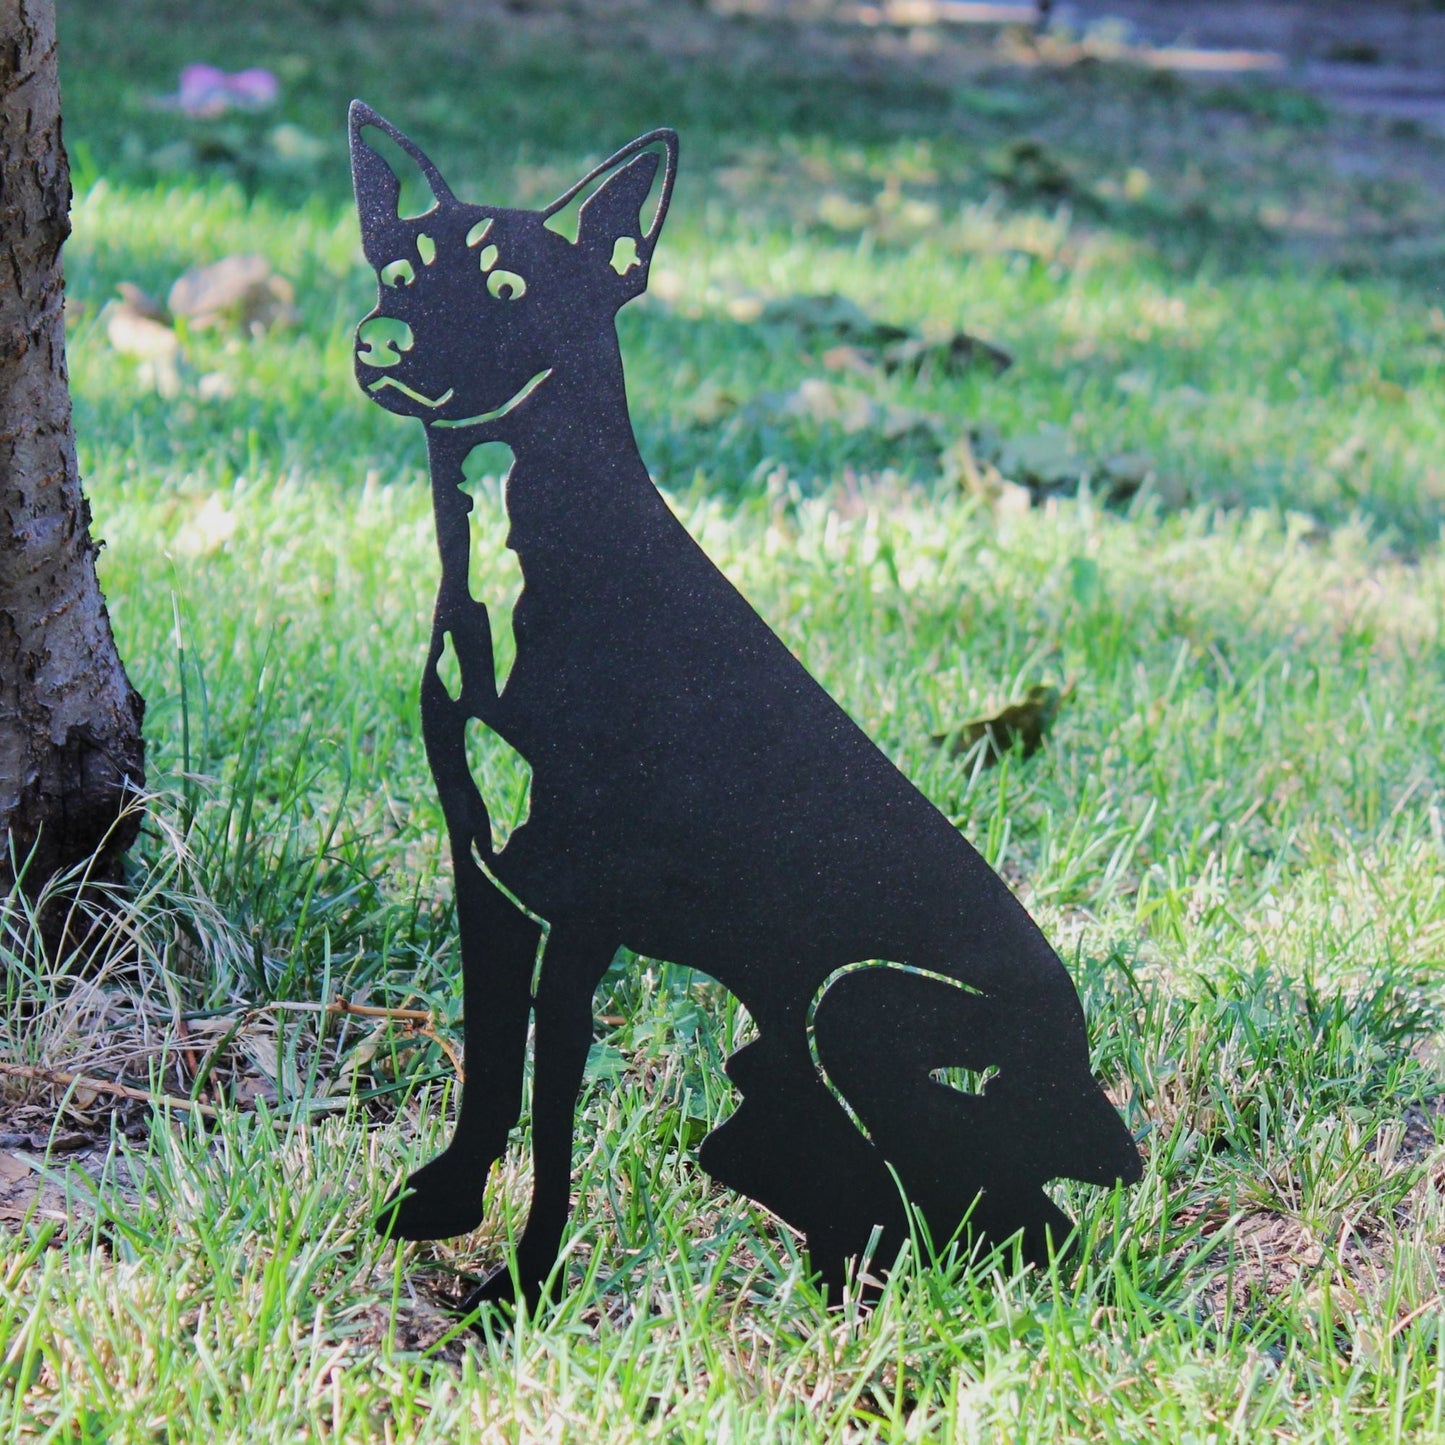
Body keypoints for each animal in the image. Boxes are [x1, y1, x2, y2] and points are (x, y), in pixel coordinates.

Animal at [349, 102, 1140, 1310]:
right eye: (397, 272)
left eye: (510, 290)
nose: (379, 343)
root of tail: (1092, 1083)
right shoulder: (487, 874)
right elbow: (487, 1071)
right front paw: (445, 1203)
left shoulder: (578, 910)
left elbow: (552, 1109)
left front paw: (522, 1285)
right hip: (786, 1042)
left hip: (854, 1003)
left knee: (1000, 1206)